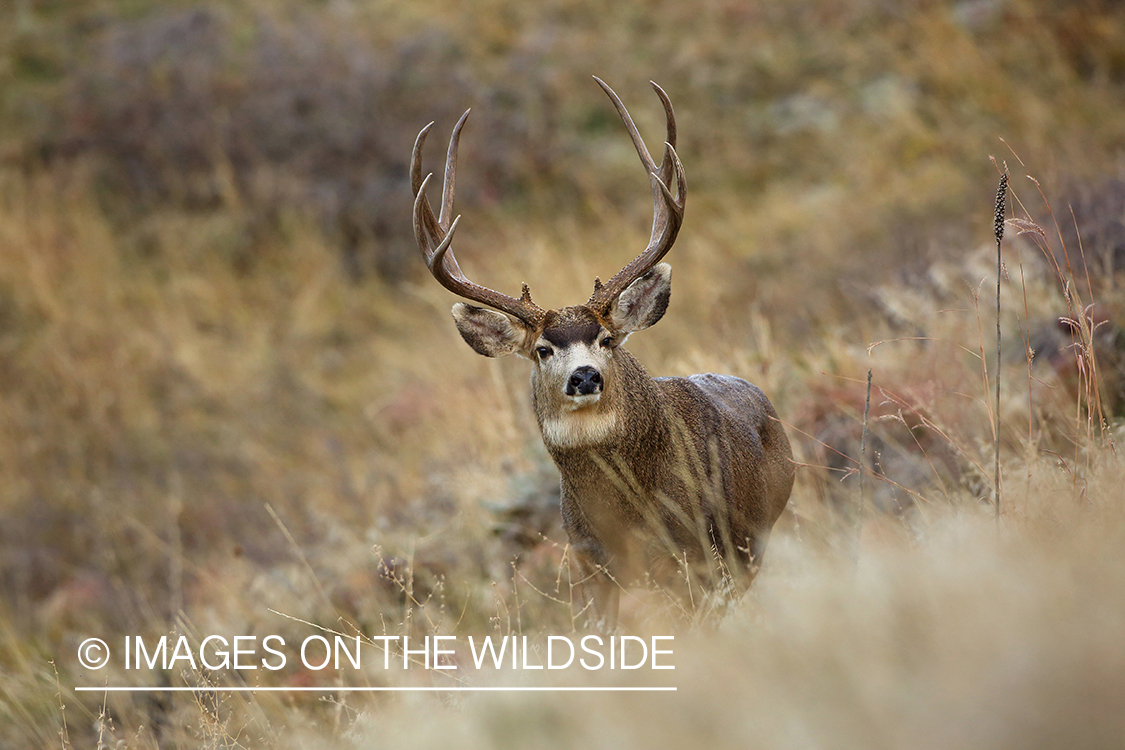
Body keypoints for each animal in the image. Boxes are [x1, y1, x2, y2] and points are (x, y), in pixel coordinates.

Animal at [411, 77, 792, 629]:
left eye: (607, 339)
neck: (625, 509)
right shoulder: (590, 560)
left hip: (750, 539)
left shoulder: (695, 545)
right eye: (543, 350)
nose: (586, 376)